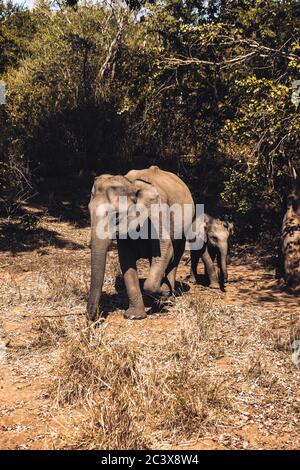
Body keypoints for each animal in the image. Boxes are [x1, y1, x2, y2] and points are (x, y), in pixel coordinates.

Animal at [86, 163, 195, 322]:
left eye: (116, 215)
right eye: (88, 211)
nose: (93, 318)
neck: (131, 184)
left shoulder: (158, 212)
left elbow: (166, 249)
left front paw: (161, 292)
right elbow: (126, 260)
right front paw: (134, 316)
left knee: (175, 255)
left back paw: (168, 296)